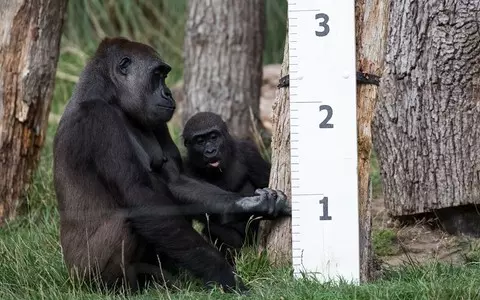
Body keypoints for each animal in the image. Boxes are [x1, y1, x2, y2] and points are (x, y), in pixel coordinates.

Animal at [182, 111, 278, 264]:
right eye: (200, 141)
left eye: (214, 137)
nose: (210, 151)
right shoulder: (186, 168)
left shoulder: (249, 152)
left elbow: (265, 181)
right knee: (215, 228)